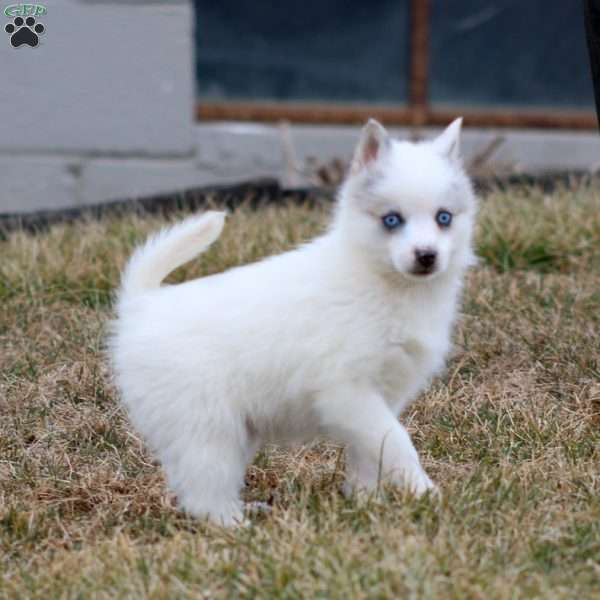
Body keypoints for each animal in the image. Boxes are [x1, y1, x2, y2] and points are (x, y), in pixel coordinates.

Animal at [110, 118, 478, 524]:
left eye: (444, 218)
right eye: (392, 220)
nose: (427, 256)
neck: (387, 284)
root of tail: (143, 304)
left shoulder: (380, 398)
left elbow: (371, 451)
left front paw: (365, 501)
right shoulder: (346, 391)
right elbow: (397, 441)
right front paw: (425, 493)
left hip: (238, 431)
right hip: (208, 427)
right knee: (205, 491)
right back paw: (236, 525)